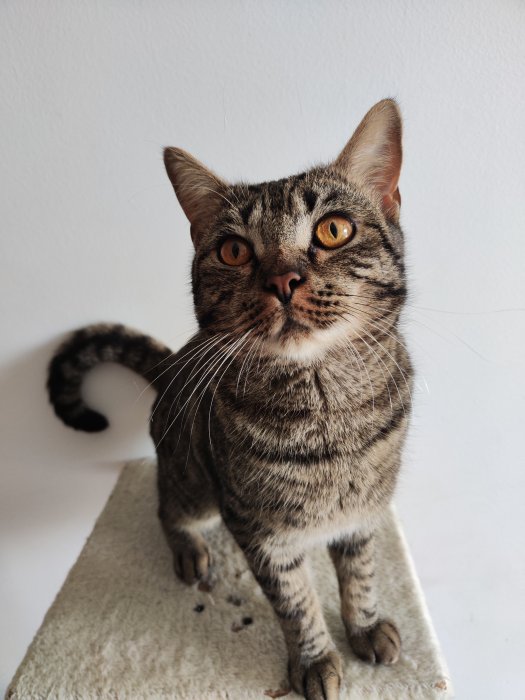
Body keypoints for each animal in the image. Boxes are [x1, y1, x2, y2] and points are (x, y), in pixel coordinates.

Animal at [48, 98, 412, 700]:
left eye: (334, 229)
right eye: (234, 250)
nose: (283, 279)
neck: (327, 413)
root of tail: (173, 364)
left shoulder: (365, 511)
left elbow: (360, 573)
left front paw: (363, 626)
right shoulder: (257, 528)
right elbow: (296, 602)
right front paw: (314, 660)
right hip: (195, 481)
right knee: (167, 505)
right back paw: (190, 551)